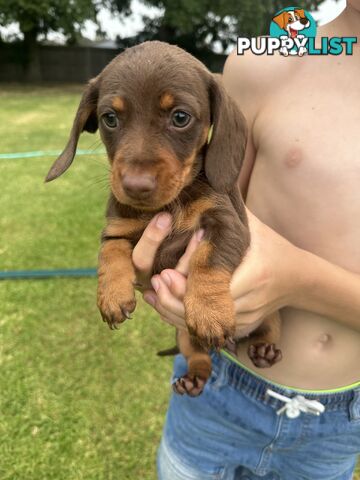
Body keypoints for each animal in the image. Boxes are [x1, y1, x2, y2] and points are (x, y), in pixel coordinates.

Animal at [45, 41, 282, 396]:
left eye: (180, 117)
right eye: (110, 118)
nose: (134, 186)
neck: (169, 206)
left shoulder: (228, 224)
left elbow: (207, 259)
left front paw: (209, 311)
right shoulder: (117, 230)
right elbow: (110, 253)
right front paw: (112, 295)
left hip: (271, 314)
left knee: (269, 328)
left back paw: (265, 349)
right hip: (184, 336)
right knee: (199, 357)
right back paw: (194, 378)